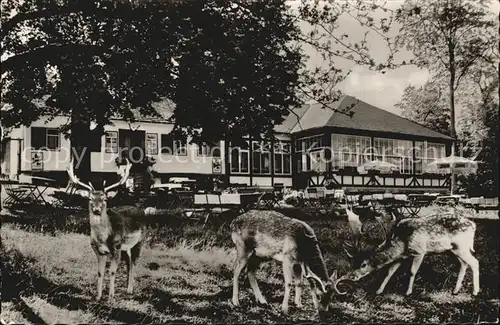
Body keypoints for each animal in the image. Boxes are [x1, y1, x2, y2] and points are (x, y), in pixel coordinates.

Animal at [66, 158, 146, 300]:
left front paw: (110, 296)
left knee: (134, 262)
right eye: (90, 198)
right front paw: (98, 296)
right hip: (126, 247)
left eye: (104, 198)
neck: (103, 238)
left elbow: (112, 271)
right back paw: (127, 288)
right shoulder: (98, 250)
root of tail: (140, 210)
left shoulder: (116, 246)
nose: (97, 209)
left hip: (139, 241)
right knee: (128, 262)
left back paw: (130, 290)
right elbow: (100, 272)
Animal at [342, 210, 478, 296]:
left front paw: (408, 292)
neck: (403, 244)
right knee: (464, 264)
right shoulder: (401, 257)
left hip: (461, 246)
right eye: (353, 262)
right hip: (452, 250)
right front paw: (379, 290)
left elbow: (412, 271)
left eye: (363, 264)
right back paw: (455, 290)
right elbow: (389, 272)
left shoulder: (419, 251)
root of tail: (473, 226)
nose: (352, 277)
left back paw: (475, 292)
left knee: (475, 262)